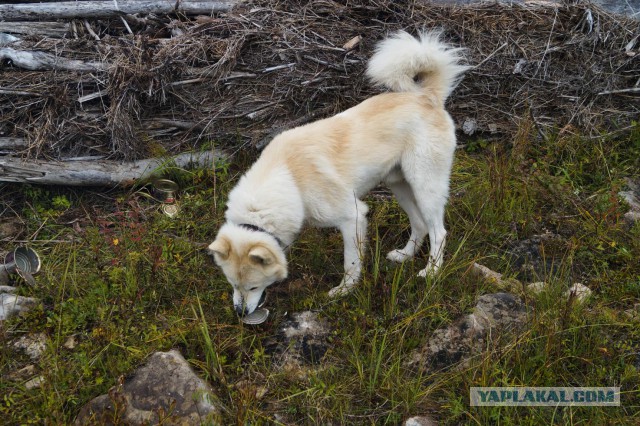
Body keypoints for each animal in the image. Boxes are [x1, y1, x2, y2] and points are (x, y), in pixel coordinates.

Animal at [208, 30, 468, 316]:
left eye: (253, 287)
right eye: (232, 284)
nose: (240, 313)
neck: (288, 177)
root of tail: (427, 97)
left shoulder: (353, 217)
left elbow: (351, 263)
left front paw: (345, 291)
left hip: (425, 187)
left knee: (438, 232)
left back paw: (431, 272)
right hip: (399, 186)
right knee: (420, 224)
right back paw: (404, 256)